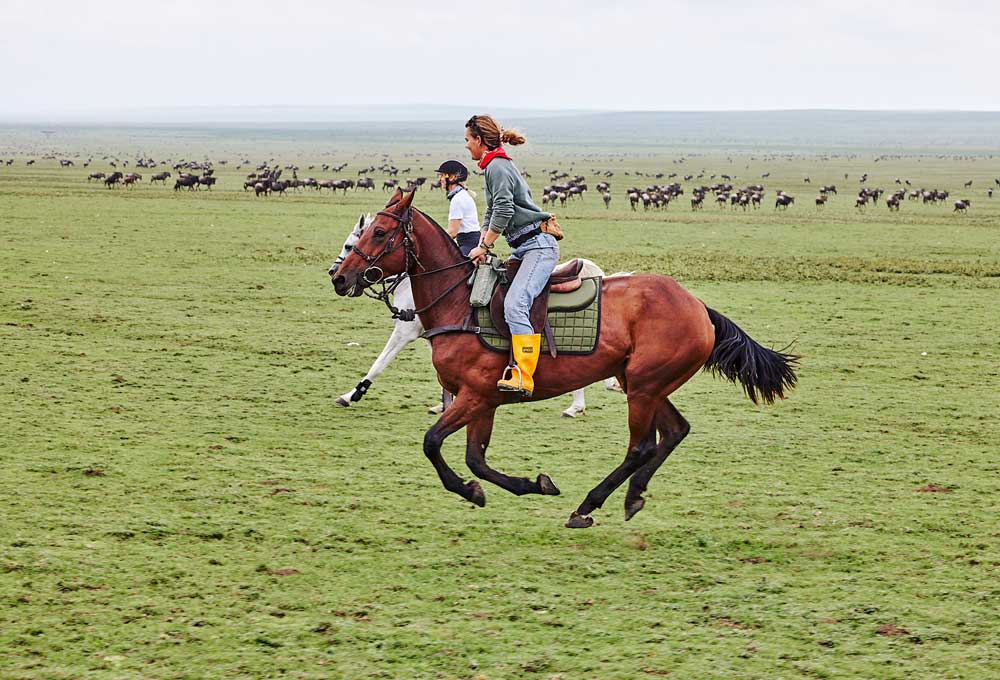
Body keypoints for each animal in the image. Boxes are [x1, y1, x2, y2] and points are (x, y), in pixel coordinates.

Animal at [328, 213, 622, 418]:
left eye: (349, 244)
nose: (336, 276)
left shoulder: (406, 331)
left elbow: (379, 363)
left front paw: (350, 395)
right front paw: (444, 403)